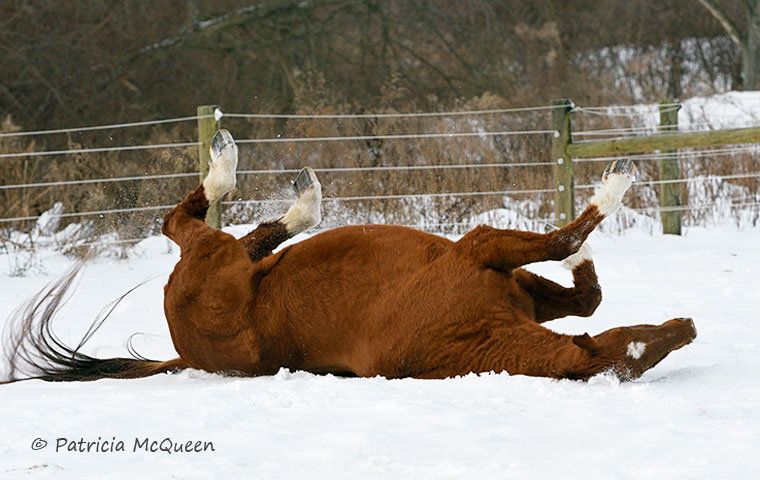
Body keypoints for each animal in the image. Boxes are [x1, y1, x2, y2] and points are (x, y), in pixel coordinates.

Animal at [0, 128, 696, 382]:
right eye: (643, 344)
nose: (685, 328)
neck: (464, 332)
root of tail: (187, 350)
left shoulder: (519, 287)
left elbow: (587, 295)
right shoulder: (479, 250)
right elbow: (567, 245)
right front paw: (613, 187)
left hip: (236, 271)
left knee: (252, 239)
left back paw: (301, 200)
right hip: (213, 262)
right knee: (187, 222)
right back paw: (244, 170)